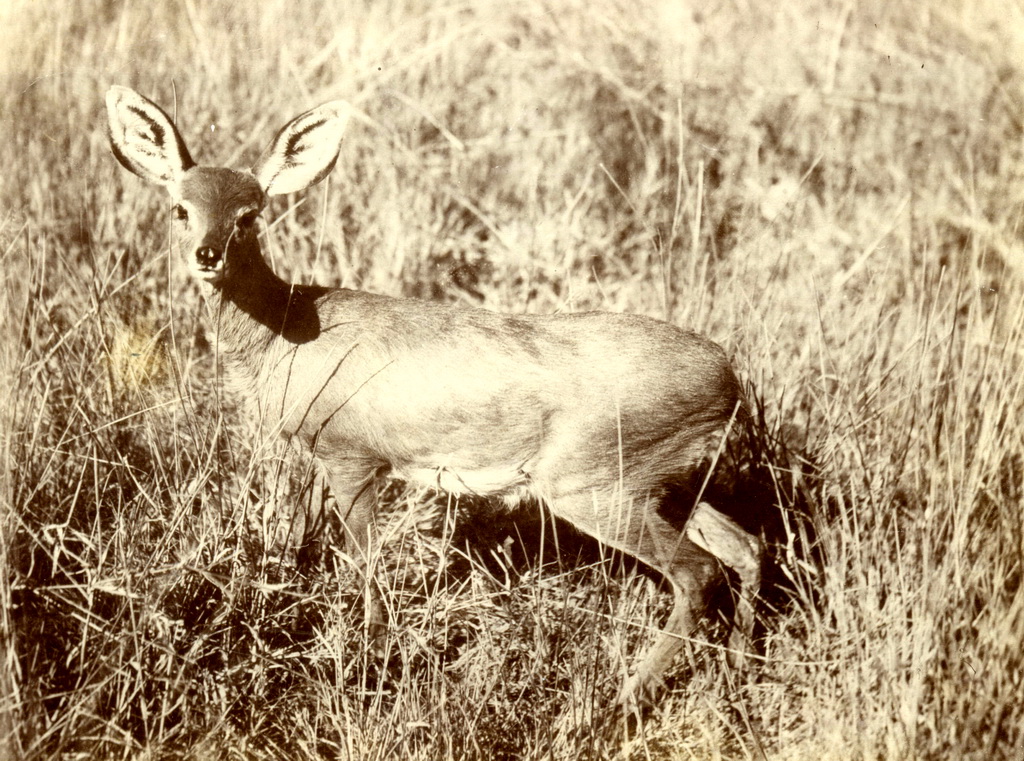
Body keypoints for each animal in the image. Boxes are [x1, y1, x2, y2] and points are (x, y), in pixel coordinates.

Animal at [105, 85, 761, 708]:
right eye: (180, 208)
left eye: (248, 214)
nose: (206, 255)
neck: (286, 329)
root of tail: (727, 379)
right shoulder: (322, 460)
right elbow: (305, 541)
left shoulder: (353, 457)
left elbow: (366, 563)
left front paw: (369, 663)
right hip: (664, 481)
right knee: (745, 546)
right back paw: (735, 671)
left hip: (593, 484)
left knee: (699, 572)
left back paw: (618, 703)